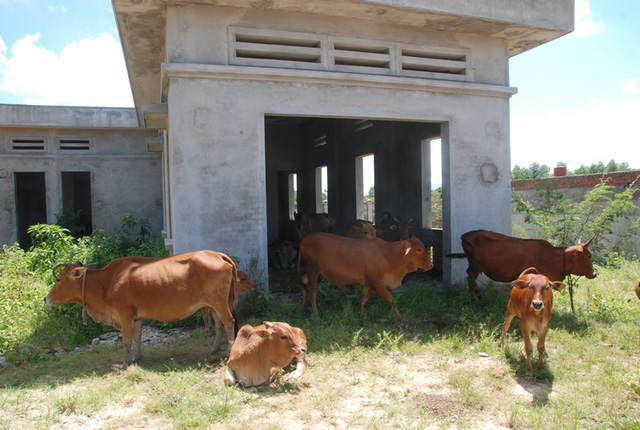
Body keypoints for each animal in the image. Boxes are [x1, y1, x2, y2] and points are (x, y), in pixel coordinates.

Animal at [45, 252, 239, 366]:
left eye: (59, 279)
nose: (46, 298)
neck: (107, 281)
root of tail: (218, 254)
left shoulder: (124, 315)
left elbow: (126, 339)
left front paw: (126, 362)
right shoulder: (137, 317)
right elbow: (138, 336)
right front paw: (137, 357)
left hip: (219, 302)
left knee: (229, 322)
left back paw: (229, 352)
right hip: (213, 305)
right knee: (219, 324)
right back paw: (214, 349)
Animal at [298, 233, 432, 324]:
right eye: (419, 249)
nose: (431, 265)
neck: (389, 255)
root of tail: (305, 239)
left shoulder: (367, 284)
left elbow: (364, 301)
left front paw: (362, 319)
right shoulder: (376, 283)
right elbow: (391, 300)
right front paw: (399, 319)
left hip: (314, 273)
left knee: (304, 283)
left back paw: (304, 309)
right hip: (313, 271)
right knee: (313, 292)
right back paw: (316, 316)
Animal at [448, 230, 596, 298]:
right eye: (589, 256)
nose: (594, 273)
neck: (550, 257)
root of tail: (469, 234)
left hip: (476, 266)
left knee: (469, 277)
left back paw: (473, 295)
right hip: (475, 264)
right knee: (470, 276)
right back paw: (477, 295)